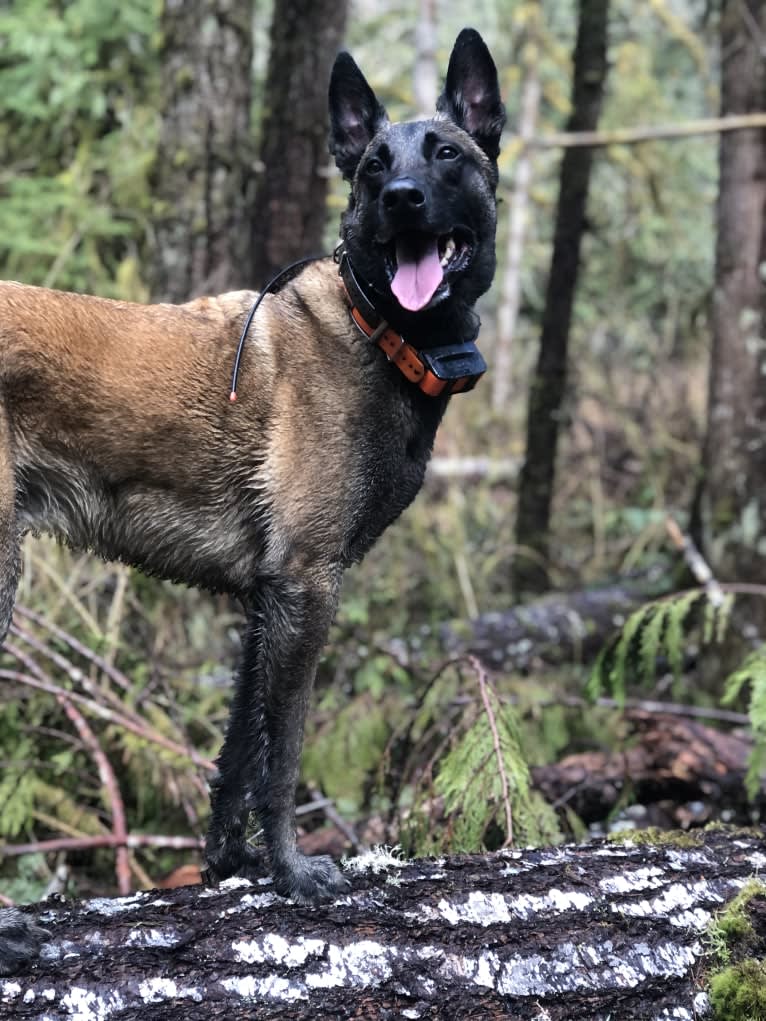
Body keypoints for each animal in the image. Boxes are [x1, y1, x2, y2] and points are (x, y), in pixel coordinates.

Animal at [0, 25, 506, 971]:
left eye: (447, 153)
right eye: (372, 166)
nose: (403, 200)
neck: (379, 331)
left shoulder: (262, 602)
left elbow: (238, 752)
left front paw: (229, 866)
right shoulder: (307, 587)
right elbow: (284, 753)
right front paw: (293, 874)